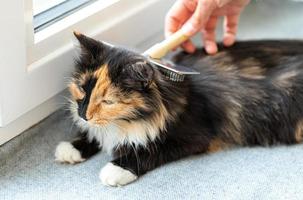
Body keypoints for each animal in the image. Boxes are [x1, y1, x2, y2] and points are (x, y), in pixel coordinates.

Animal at [54, 32, 303, 187]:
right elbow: (97, 134)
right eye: (82, 89)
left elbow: (150, 150)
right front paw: (72, 147)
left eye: (108, 102)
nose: (83, 115)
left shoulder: (194, 136)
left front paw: (116, 169)